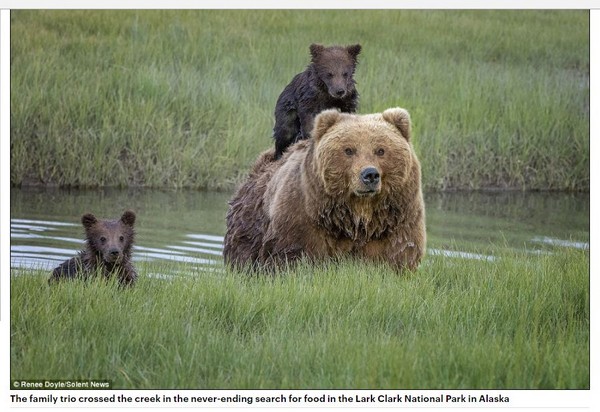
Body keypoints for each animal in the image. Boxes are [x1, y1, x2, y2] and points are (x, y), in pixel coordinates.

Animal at [225, 108, 426, 272]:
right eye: (349, 150)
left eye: (381, 150)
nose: (370, 174)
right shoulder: (302, 217)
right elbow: (293, 255)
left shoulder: (395, 221)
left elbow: (397, 254)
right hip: (248, 228)